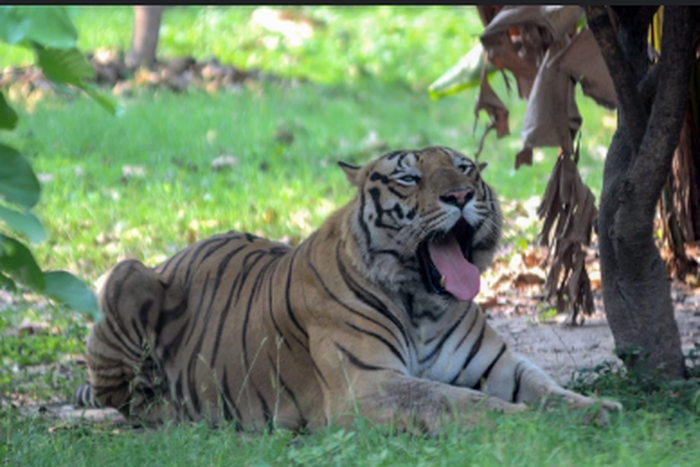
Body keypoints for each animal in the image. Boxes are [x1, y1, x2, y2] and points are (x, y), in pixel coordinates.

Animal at [77, 146, 621, 432]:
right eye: (409, 177)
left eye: (465, 167)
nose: (461, 195)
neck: (426, 304)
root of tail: (176, 253)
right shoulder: (367, 385)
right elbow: (456, 401)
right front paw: (520, 421)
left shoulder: (499, 366)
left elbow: (548, 388)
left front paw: (597, 409)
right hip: (125, 274)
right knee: (126, 400)